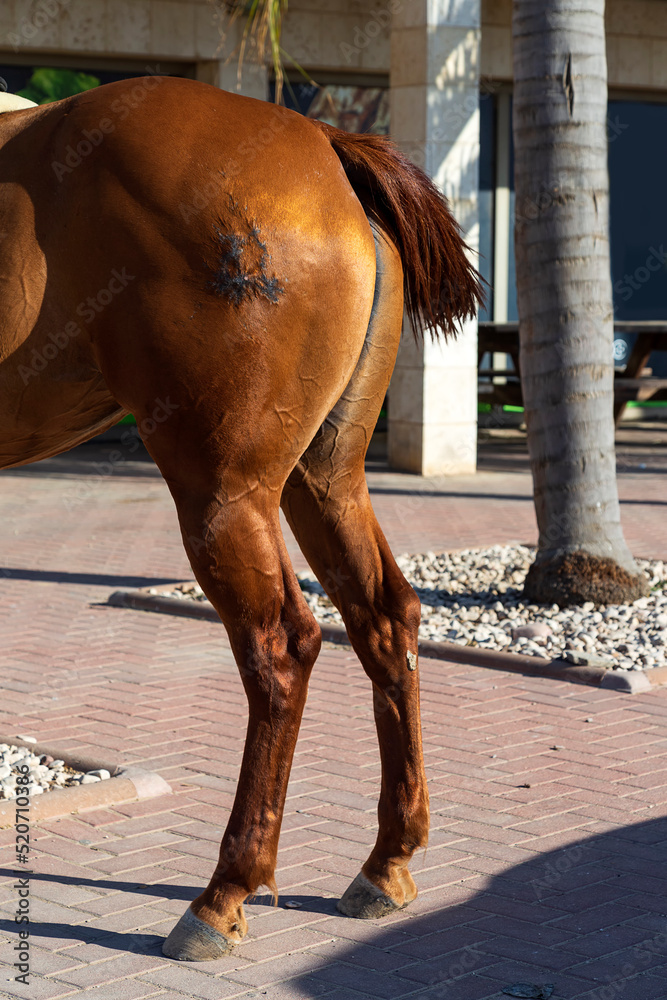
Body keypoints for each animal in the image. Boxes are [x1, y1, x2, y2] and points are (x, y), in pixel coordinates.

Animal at [0, 76, 483, 961]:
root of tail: (325, 146)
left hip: (224, 491)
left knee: (279, 648)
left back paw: (222, 893)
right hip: (323, 479)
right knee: (383, 616)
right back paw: (385, 861)